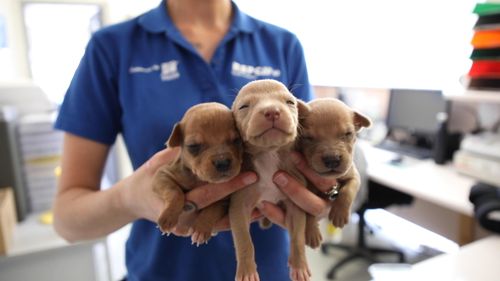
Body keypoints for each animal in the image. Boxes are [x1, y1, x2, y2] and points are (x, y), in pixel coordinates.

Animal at [154, 101, 244, 244]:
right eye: (193, 146)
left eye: (237, 140)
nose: (222, 162)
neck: (200, 180)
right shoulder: (162, 174)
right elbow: (174, 192)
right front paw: (168, 217)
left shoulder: (225, 199)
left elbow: (213, 208)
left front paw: (201, 228)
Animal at [230, 79, 312, 280]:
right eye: (244, 106)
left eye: (290, 102)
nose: (272, 111)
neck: (268, 153)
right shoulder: (238, 207)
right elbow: (244, 241)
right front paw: (247, 271)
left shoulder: (295, 205)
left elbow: (297, 237)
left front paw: (299, 265)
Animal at [296, 98, 372, 236]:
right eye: (308, 137)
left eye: (348, 133)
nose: (332, 160)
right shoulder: (307, 190)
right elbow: (308, 211)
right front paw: (311, 232)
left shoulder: (354, 176)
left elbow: (348, 190)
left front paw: (339, 215)